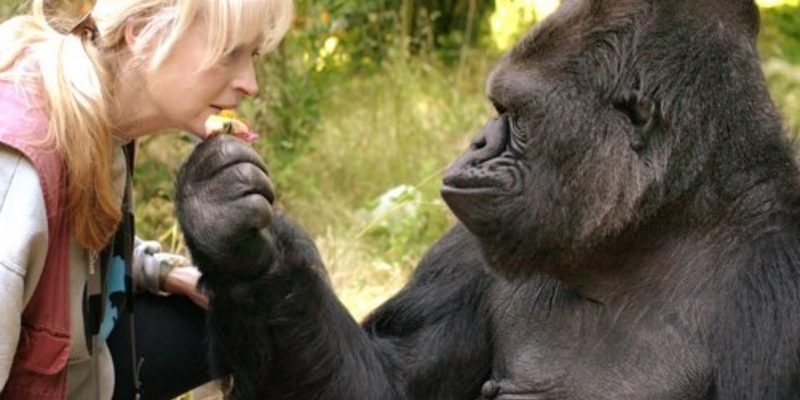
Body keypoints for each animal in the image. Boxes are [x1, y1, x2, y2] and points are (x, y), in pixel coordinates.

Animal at [177, 0, 800, 398]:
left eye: (514, 115)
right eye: (496, 109)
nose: (475, 142)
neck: (656, 224)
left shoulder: (778, 287)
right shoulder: (468, 248)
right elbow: (386, 386)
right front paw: (231, 235)